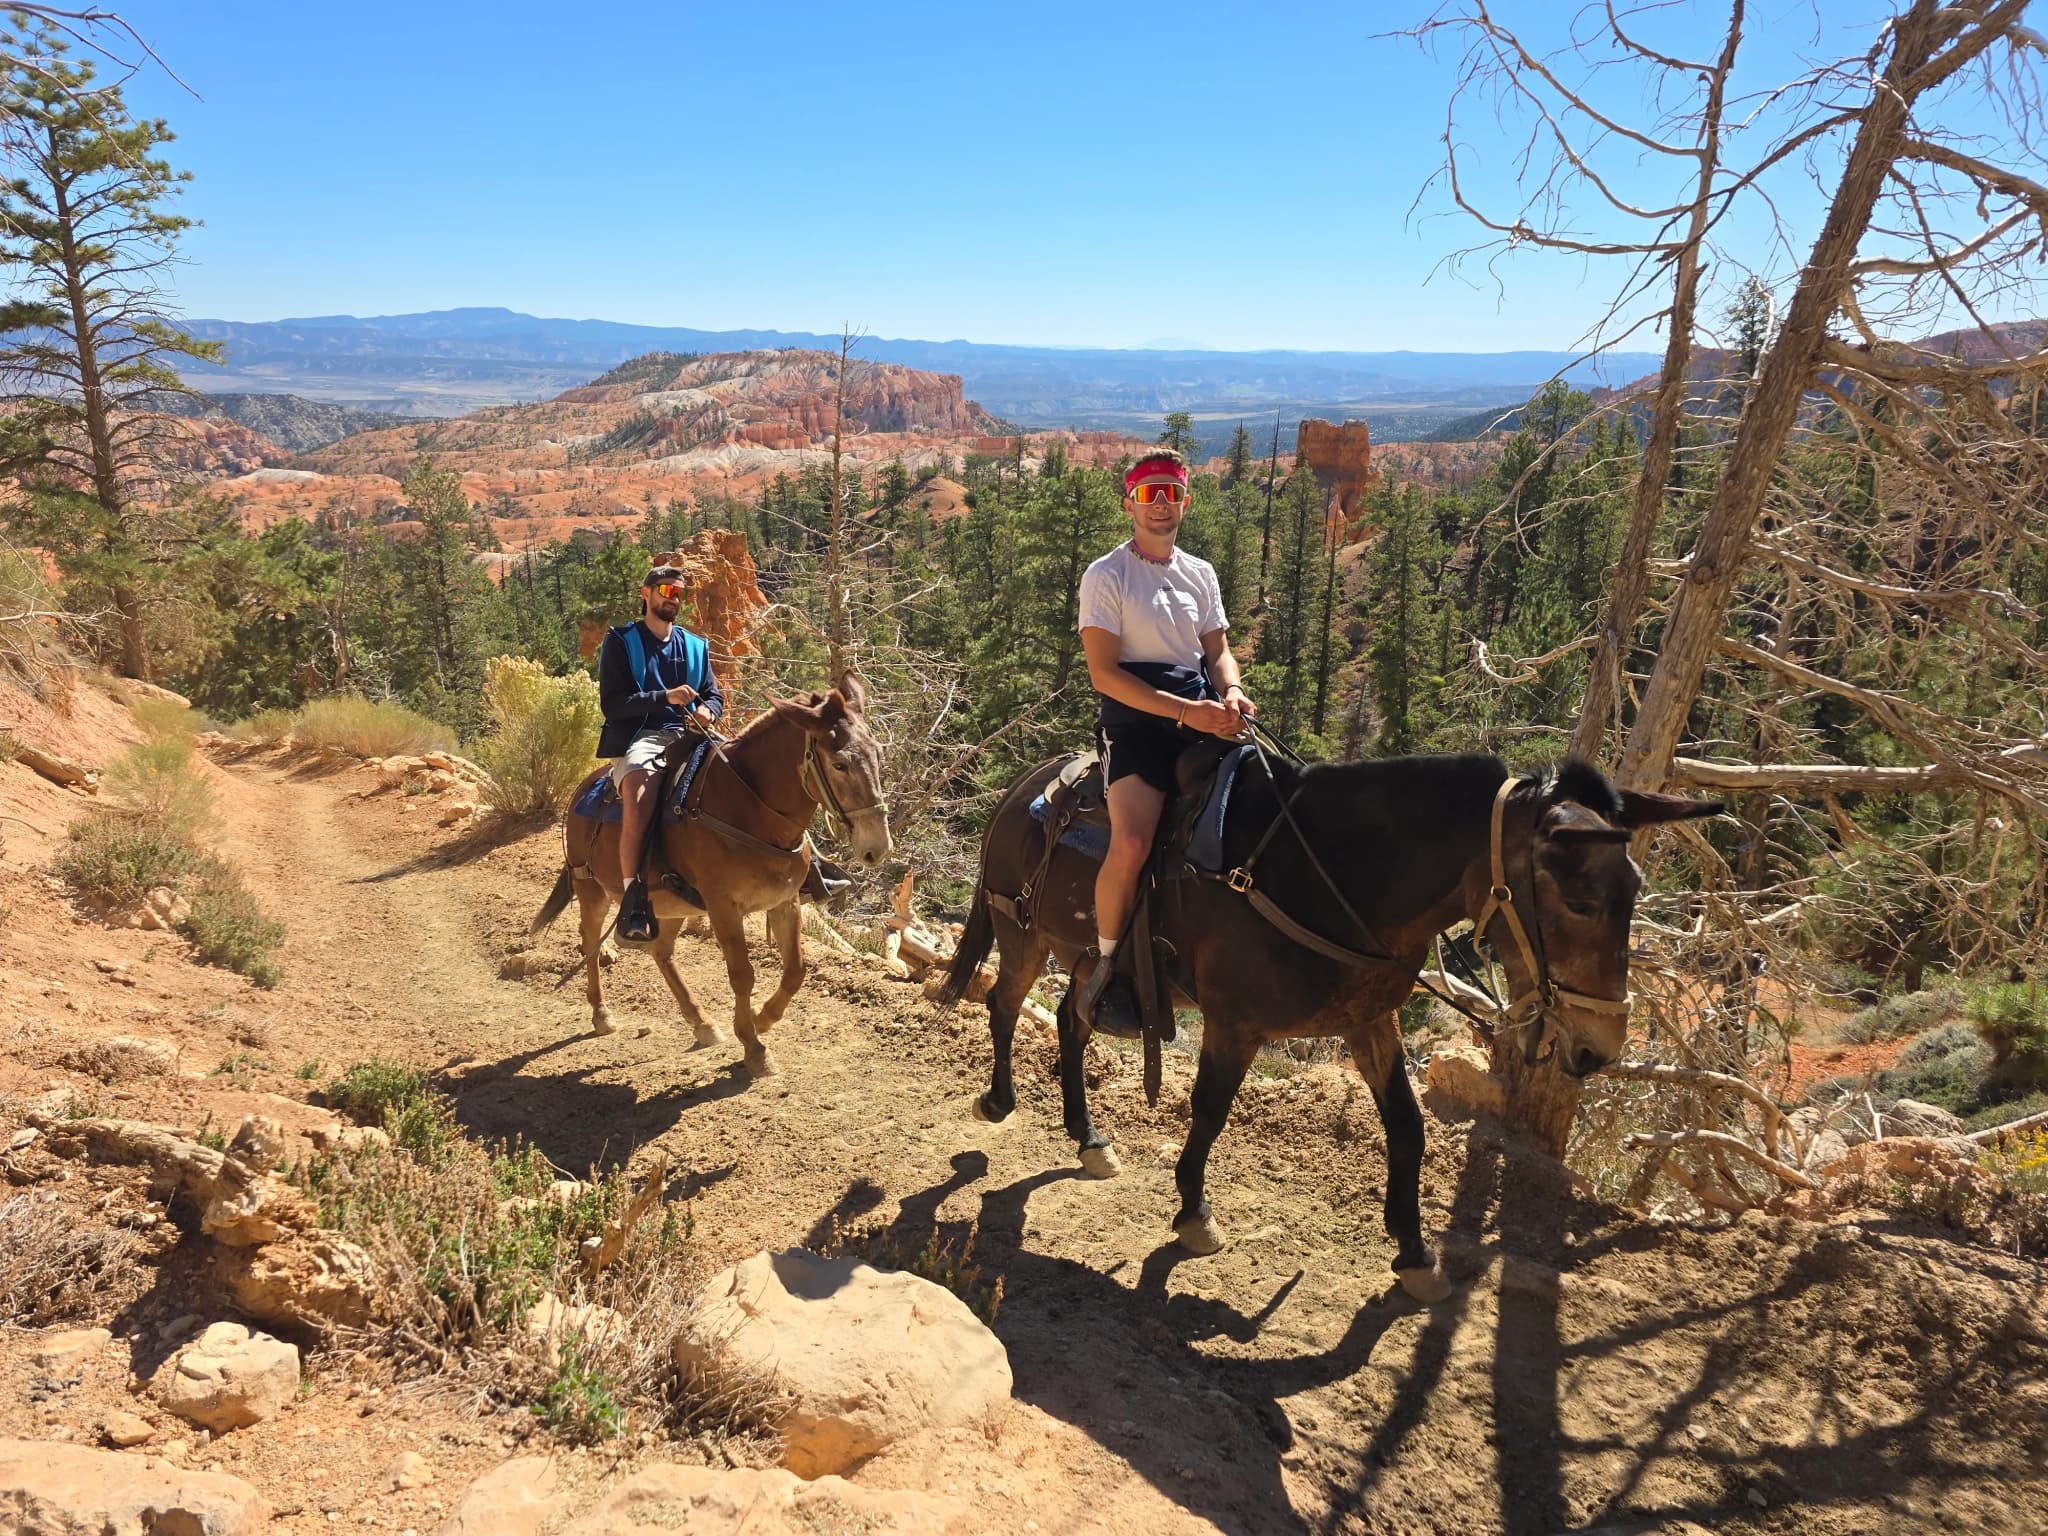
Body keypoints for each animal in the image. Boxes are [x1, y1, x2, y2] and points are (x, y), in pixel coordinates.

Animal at [532, 672, 891, 1077]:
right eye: (840, 764)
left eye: (878, 754)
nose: (877, 846)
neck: (751, 811)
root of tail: (583, 788)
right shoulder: (723, 907)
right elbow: (742, 974)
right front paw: (753, 1046)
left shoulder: (785, 902)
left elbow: (795, 970)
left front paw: (761, 1018)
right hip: (591, 888)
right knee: (590, 941)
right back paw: (601, 1014)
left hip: (669, 905)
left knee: (661, 951)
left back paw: (701, 1022)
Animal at [939, 749, 1716, 1302]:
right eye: (1581, 900)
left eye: (1635, 891)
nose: (1599, 1047)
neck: (1332, 879)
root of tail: (1027, 784)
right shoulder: (1235, 1025)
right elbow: (1211, 1112)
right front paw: (1194, 1213)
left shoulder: (1368, 1021)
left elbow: (1407, 1126)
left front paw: (1414, 1251)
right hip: (1022, 930)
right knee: (1004, 1005)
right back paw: (999, 1101)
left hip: (1082, 960)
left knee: (1072, 1024)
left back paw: (1089, 1137)